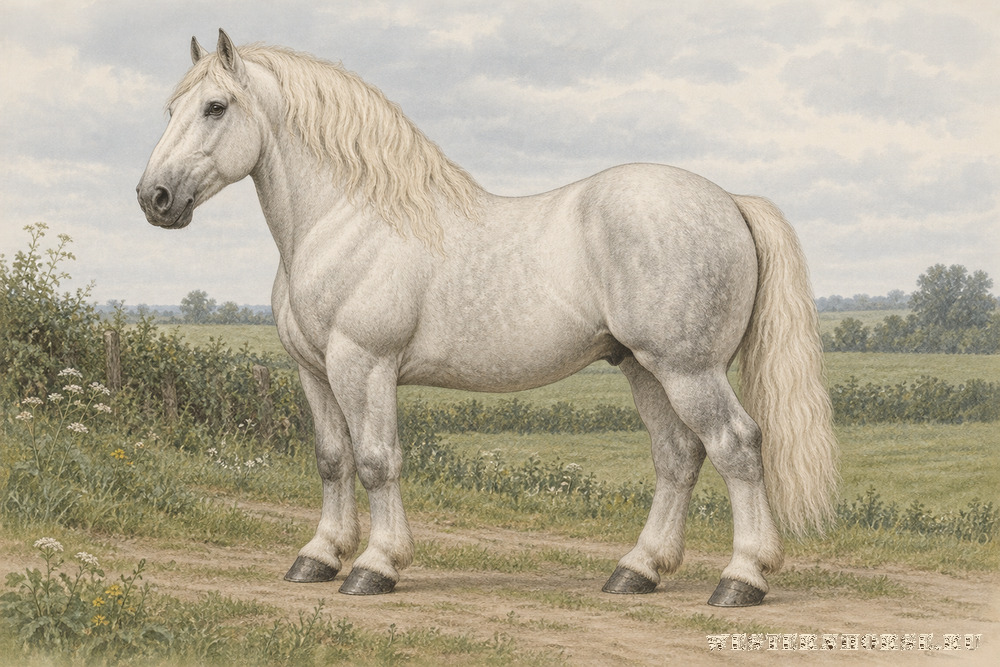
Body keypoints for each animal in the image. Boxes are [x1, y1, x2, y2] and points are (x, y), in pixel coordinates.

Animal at [137, 30, 837, 606]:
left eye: (215, 107)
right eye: (171, 110)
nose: (154, 198)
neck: (343, 220)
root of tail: (731, 201)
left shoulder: (363, 364)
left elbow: (376, 460)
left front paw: (375, 567)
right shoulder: (314, 369)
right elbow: (333, 458)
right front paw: (318, 557)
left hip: (689, 369)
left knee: (736, 446)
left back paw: (741, 579)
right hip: (645, 368)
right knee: (678, 457)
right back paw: (637, 571)